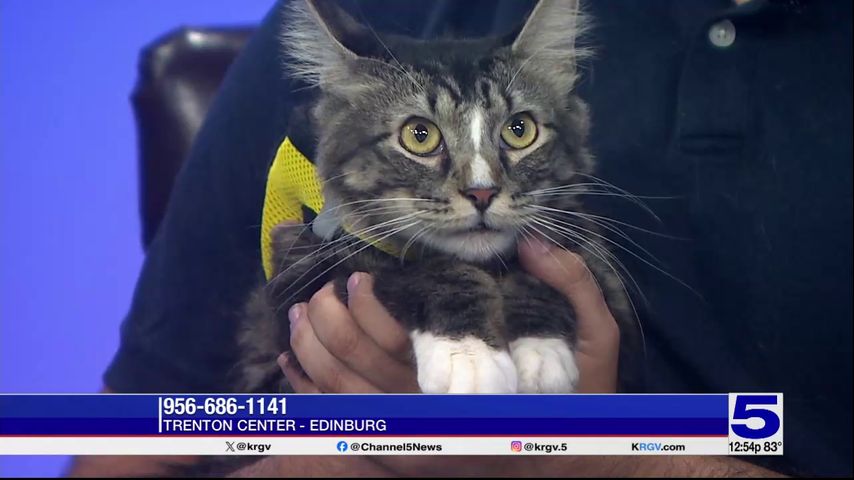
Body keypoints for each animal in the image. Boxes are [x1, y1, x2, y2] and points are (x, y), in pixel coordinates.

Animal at [237, 0, 640, 398]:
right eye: (419, 135)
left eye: (519, 130)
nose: (482, 191)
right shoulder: (301, 267)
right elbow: (420, 270)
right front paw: (469, 354)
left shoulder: (595, 260)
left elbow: (548, 268)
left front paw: (542, 351)